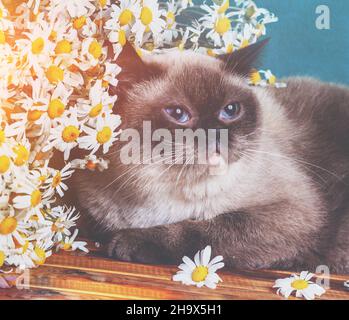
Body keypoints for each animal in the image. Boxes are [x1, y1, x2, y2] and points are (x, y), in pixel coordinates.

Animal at [70, 38, 348, 272]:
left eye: (231, 110)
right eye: (178, 114)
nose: (216, 135)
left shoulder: (293, 212)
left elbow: (204, 229)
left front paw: (130, 243)